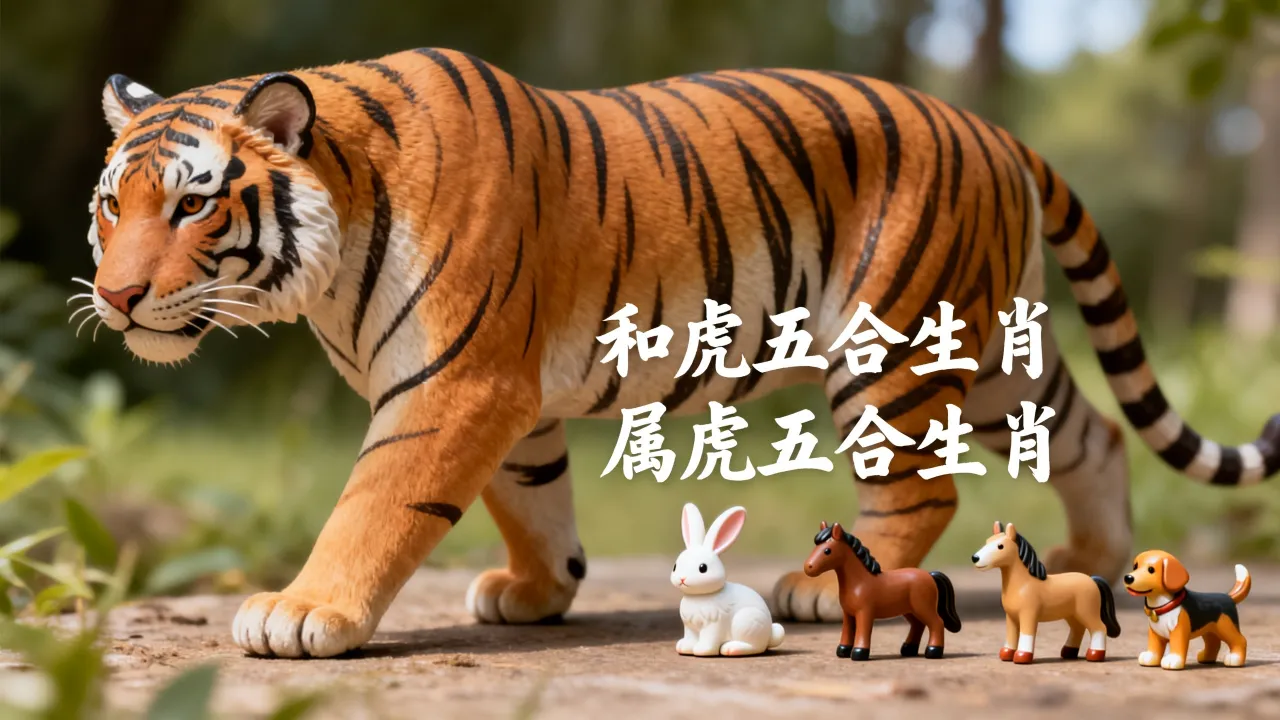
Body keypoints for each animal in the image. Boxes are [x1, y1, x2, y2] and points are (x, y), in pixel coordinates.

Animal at [82, 48, 1280, 658]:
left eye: (192, 205)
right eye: (110, 207)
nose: (117, 296)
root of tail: (996, 133)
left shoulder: (453, 382)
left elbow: (378, 505)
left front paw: (300, 611)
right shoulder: (515, 395)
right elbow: (534, 500)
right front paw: (536, 592)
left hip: (891, 347)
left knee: (922, 491)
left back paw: (824, 594)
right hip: (991, 352)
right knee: (1089, 435)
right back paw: (1094, 561)